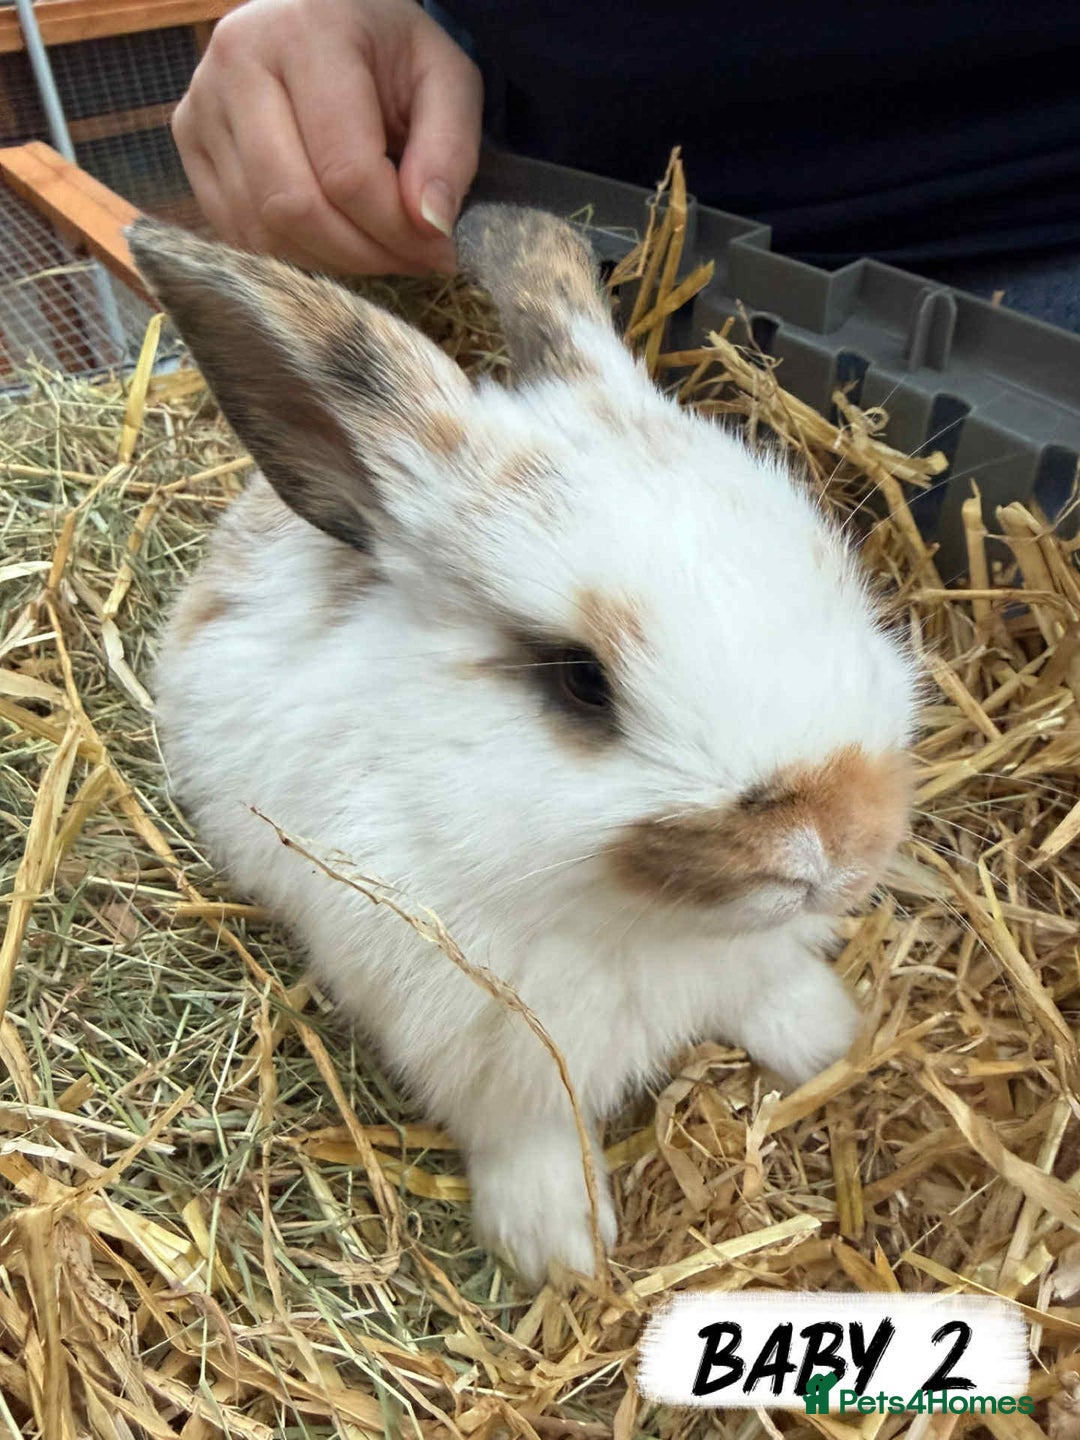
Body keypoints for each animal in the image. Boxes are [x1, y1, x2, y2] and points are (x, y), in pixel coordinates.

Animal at [129, 205, 917, 1287]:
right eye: (579, 679)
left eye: (832, 569)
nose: (844, 847)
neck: (641, 927)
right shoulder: (489, 1056)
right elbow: (532, 1137)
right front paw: (560, 1251)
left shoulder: (747, 964)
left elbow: (772, 994)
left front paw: (830, 1041)